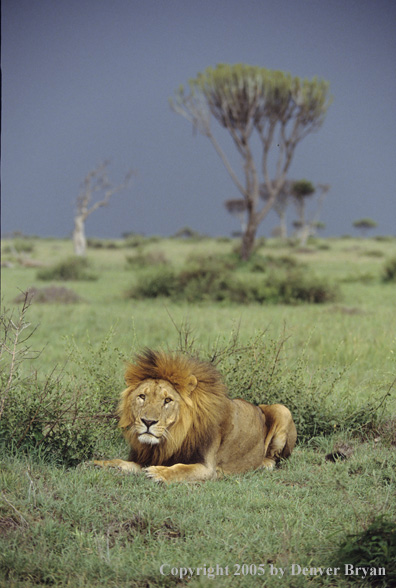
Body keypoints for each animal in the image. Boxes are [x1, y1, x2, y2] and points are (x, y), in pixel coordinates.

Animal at [93, 350, 296, 482]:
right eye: (142, 396)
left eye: (167, 400)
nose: (148, 422)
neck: (173, 437)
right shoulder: (147, 457)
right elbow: (122, 462)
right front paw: (100, 463)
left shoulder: (207, 468)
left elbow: (181, 468)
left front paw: (159, 473)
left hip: (282, 409)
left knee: (274, 459)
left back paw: (263, 464)